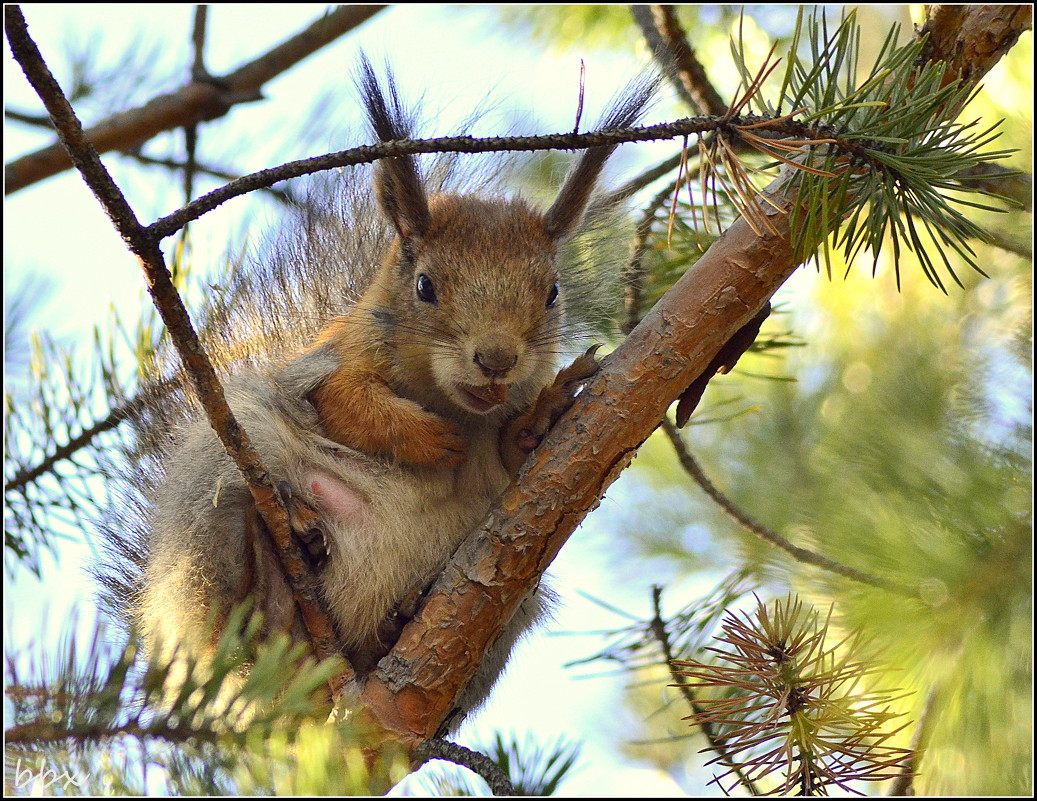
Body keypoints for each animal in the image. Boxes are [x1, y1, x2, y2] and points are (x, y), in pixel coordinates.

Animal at [107, 59, 655, 730]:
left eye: (552, 293)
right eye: (424, 286)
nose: (496, 360)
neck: (452, 402)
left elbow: (514, 450)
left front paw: (542, 414)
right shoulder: (332, 365)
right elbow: (351, 406)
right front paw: (432, 441)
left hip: (515, 605)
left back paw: (395, 623)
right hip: (217, 488)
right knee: (226, 600)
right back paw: (273, 573)